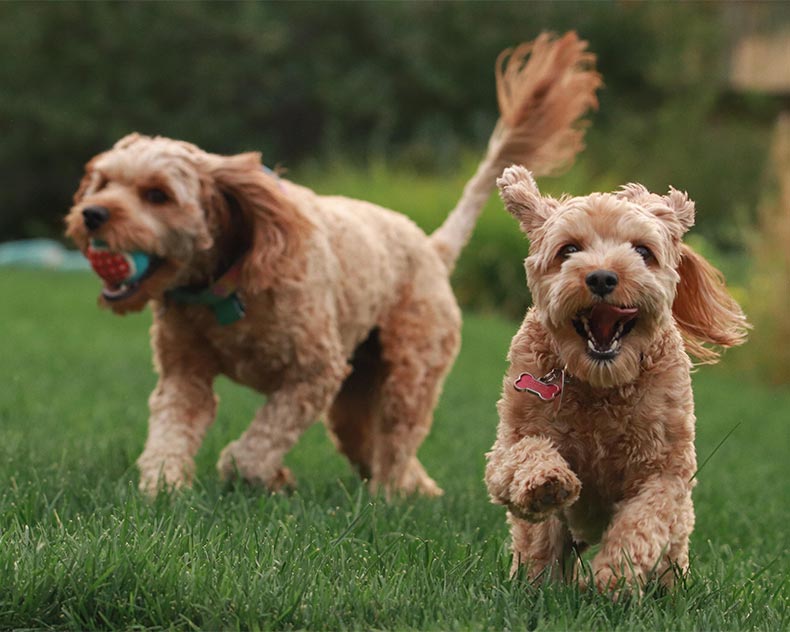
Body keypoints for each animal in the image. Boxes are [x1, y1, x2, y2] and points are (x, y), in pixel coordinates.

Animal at [68, 33, 600, 498]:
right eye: (103, 182)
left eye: (157, 195)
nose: (91, 214)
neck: (226, 286)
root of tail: (432, 247)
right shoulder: (185, 374)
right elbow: (171, 431)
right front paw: (163, 489)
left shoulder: (314, 371)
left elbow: (255, 447)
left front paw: (258, 474)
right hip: (355, 392)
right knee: (373, 442)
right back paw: (416, 490)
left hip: (410, 371)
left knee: (397, 438)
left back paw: (391, 496)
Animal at [486, 165, 752, 596]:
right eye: (568, 250)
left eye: (643, 251)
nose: (601, 277)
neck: (600, 382)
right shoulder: (510, 439)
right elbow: (524, 454)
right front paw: (547, 481)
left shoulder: (666, 469)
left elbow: (644, 520)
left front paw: (615, 575)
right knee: (539, 545)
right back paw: (536, 584)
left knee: (671, 551)